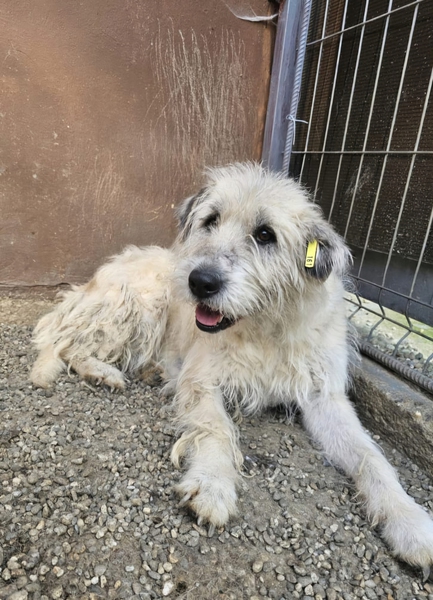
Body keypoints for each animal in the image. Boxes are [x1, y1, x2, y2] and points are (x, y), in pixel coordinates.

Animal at [30, 163, 433, 576]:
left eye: (265, 234)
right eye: (211, 220)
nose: (200, 281)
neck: (264, 328)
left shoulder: (324, 398)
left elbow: (372, 458)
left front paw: (410, 522)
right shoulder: (201, 380)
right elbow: (217, 428)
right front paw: (212, 484)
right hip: (138, 306)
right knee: (64, 342)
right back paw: (102, 372)